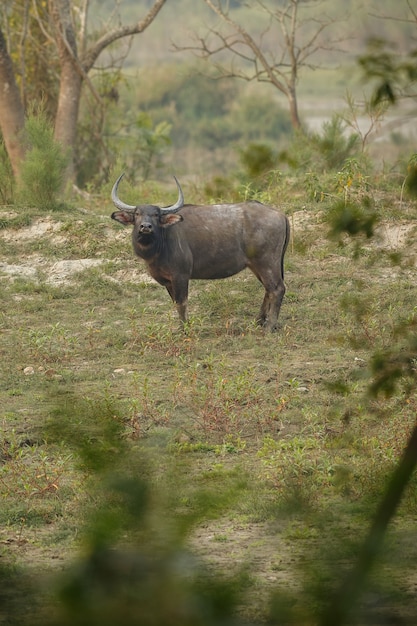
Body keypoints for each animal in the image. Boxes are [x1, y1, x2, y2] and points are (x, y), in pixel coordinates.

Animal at [109, 173, 290, 330]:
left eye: (156, 215)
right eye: (137, 214)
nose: (145, 227)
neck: (160, 245)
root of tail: (280, 215)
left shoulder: (181, 276)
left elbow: (182, 303)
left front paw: (184, 329)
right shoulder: (168, 281)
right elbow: (175, 302)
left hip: (267, 263)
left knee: (277, 289)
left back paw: (269, 326)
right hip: (256, 265)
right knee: (268, 289)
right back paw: (259, 321)